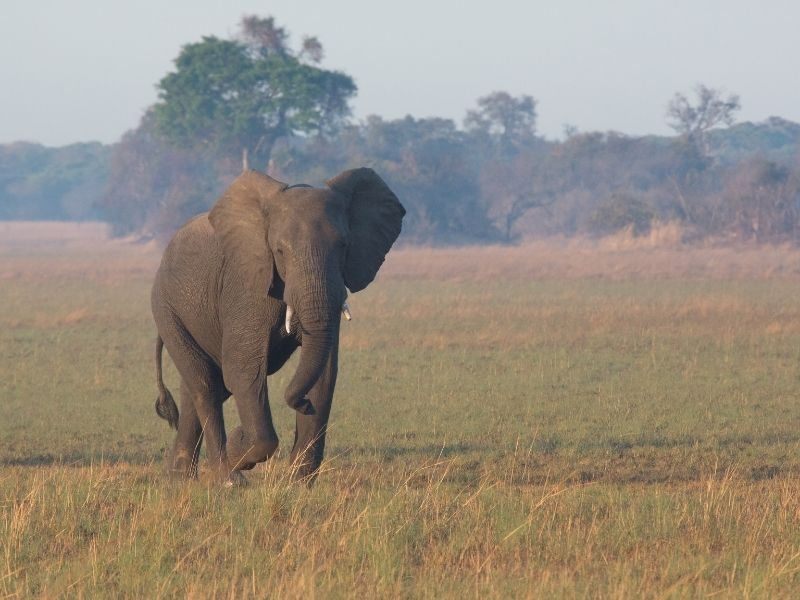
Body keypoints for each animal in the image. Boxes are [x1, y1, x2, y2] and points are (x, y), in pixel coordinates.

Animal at [149, 166, 404, 486]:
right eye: (280, 251)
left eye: (344, 246)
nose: (302, 403)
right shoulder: (246, 287)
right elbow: (244, 369)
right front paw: (239, 450)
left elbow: (324, 373)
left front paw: (298, 484)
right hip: (167, 309)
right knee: (205, 385)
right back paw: (227, 479)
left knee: (202, 385)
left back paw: (179, 479)